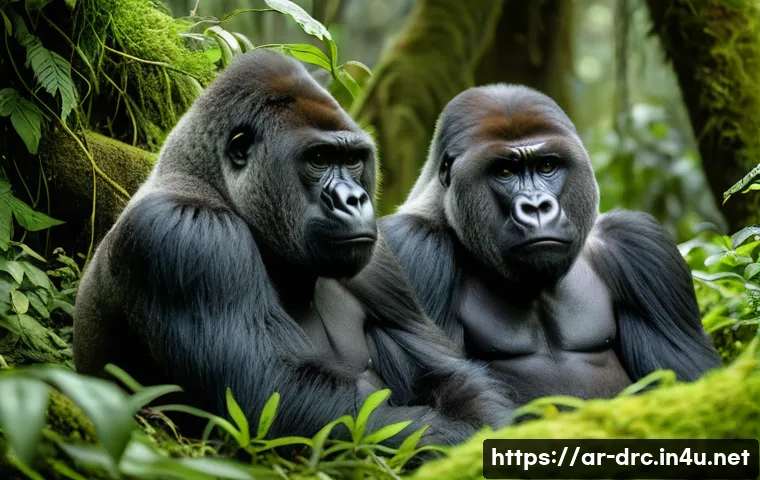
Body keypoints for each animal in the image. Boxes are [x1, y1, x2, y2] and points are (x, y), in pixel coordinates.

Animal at [73, 51, 512, 447]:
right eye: (319, 158)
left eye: (352, 160)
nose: (353, 200)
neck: (208, 180)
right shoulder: (188, 236)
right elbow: (273, 396)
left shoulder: (379, 259)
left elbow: (446, 375)